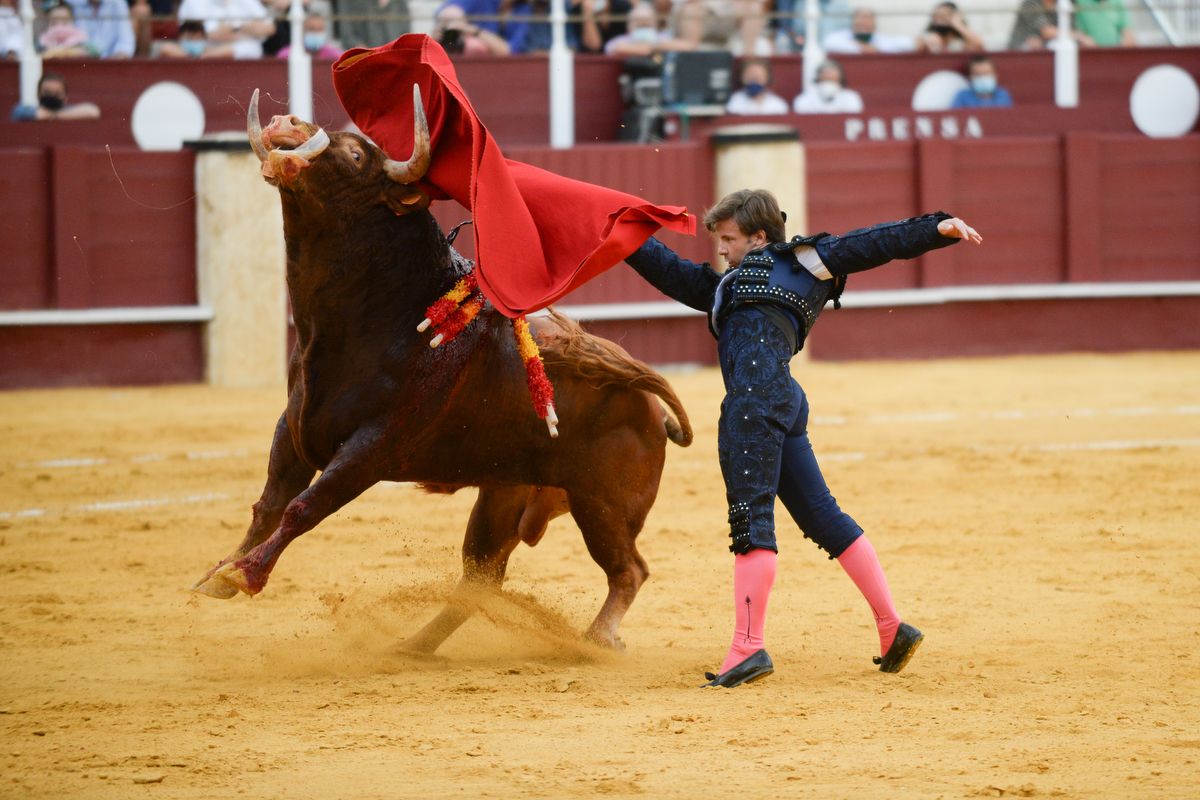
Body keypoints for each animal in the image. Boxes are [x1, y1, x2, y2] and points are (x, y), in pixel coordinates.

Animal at [194, 87, 696, 652]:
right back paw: (414, 646)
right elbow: (270, 505)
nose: (289, 124)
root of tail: (650, 406)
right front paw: (218, 573)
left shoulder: (372, 448)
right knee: (481, 577)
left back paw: (597, 640)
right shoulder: (295, 428)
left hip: (604, 503)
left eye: (357, 155)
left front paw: (243, 575)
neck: (375, 316)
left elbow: (306, 506)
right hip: (506, 491)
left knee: (628, 570)